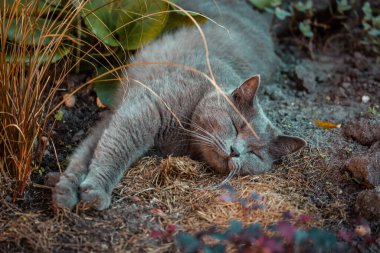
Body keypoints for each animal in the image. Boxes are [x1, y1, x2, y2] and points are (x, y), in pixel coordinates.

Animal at [52, 0, 306, 210]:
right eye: (236, 125)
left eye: (255, 153)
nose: (236, 151)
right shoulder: (144, 109)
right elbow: (114, 150)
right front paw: (92, 190)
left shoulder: (122, 113)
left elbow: (90, 150)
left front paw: (69, 191)